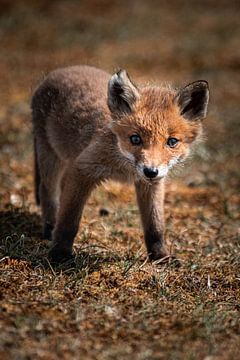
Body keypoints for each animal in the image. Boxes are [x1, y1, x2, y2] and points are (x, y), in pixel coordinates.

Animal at [31, 64, 209, 262]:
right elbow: (69, 220)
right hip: (50, 156)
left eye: (172, 142)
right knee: (47, 192)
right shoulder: (83, 168)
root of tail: (62, 70)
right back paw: (49, 229)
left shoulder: (151, 185)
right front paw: (60, 253)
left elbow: (155, 225)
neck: (124, 168)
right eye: (135, 139)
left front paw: (160, 257)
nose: (150, 171)